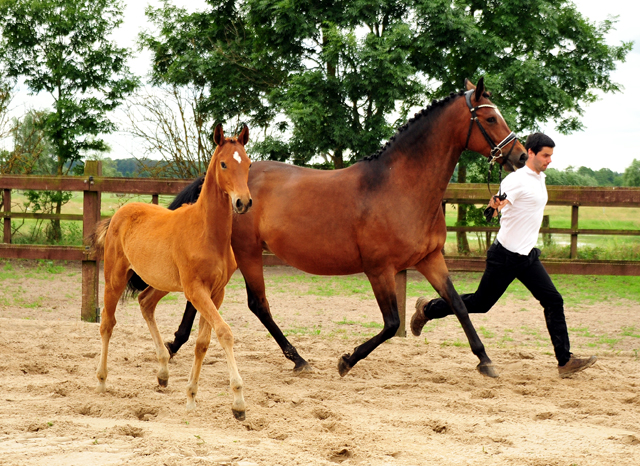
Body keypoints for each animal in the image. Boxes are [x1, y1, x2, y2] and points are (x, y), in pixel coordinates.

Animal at [132, 78, 528, 376]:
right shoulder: (379, 268)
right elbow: (390, 323)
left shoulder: (430, 259)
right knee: (257, 304)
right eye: (490, 119)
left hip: (229, 255)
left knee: (199, 297)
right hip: (245, 252)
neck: (400, 187)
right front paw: (346, 360)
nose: (521, 155)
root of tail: (215, 181)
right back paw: (297, 358)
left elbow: (457, 304)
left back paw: (176, 343)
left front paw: (485, 361)